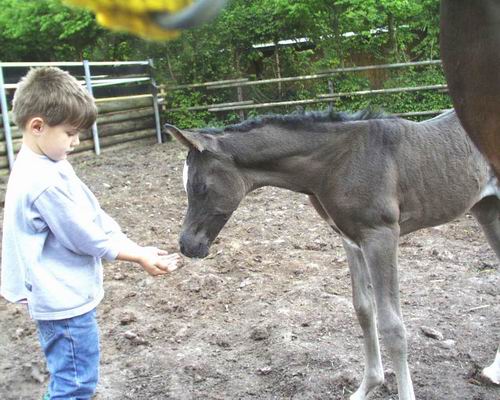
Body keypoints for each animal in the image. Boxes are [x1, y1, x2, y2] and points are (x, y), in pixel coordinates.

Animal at [165, 109, 500, 400]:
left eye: (199, 186)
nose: (187, 245)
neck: (338, 162)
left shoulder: (381, 236)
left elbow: (392, 326)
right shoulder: (352, 240)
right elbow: (363, 309)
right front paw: (368, 387)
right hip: (486, 210)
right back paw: (493, 371)